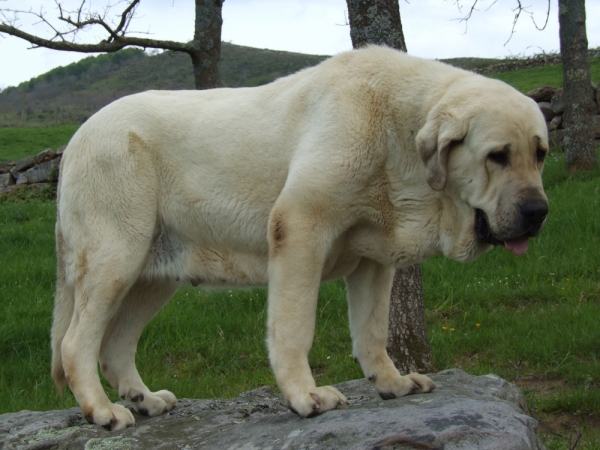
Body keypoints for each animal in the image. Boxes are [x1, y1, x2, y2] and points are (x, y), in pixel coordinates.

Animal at [51, 45, 548, 428]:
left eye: (540, 154)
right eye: (498, 156)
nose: (538, 212)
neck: (400, 131)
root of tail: (78, 135)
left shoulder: (375, 260)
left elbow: (372, 330)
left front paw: (392, 383)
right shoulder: (301, 227)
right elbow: (294, 328)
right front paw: (305, 397)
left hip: (153, 275)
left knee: (115, 344)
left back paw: (144, 399)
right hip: (117, 258)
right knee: (77, 343)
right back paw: (103, 411)